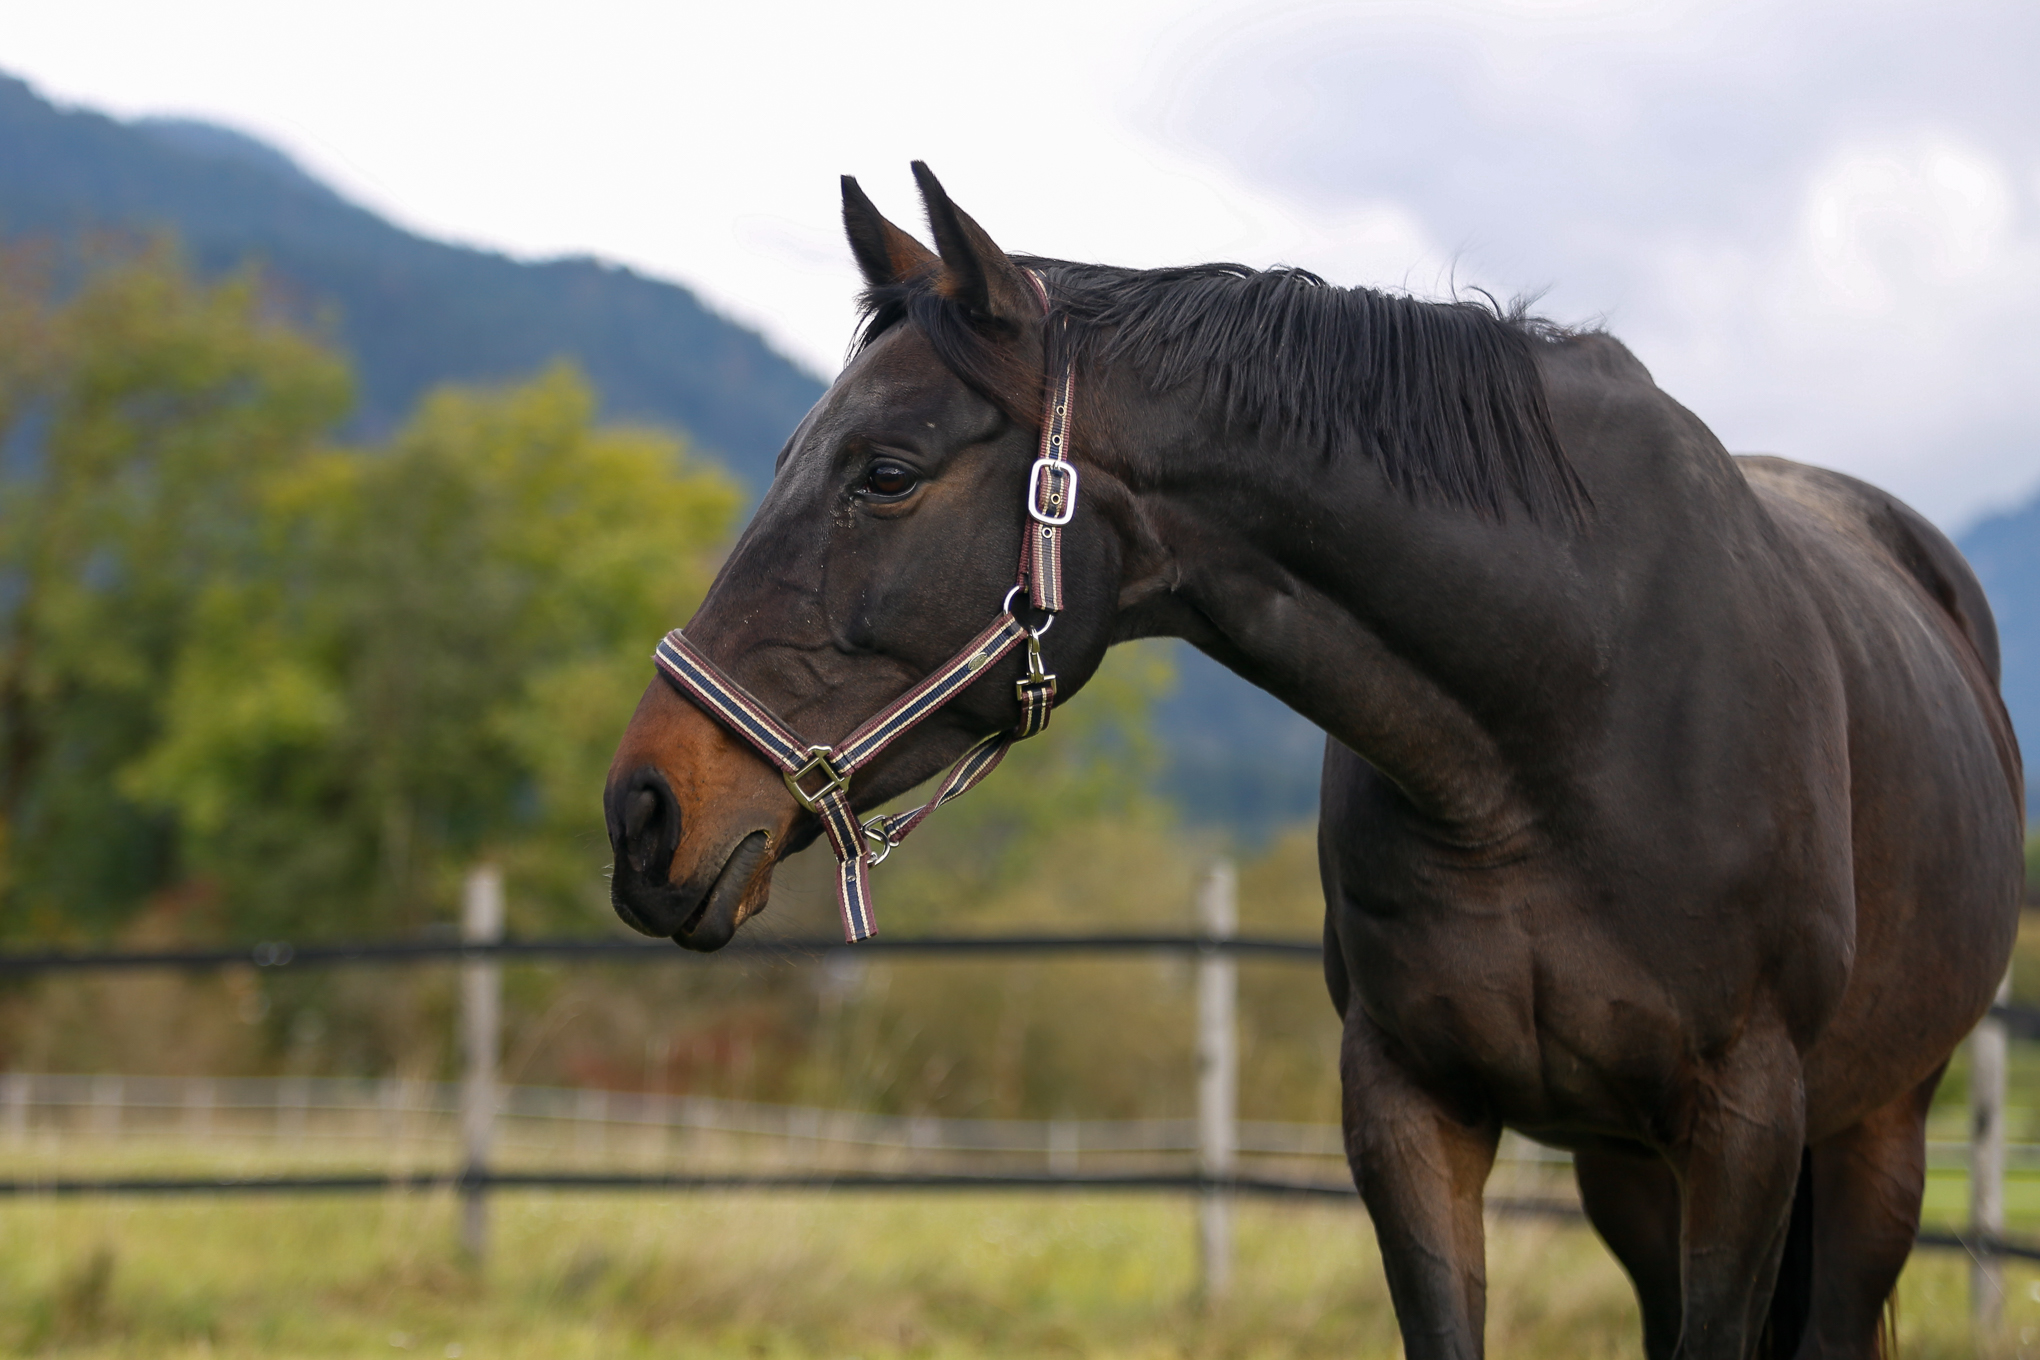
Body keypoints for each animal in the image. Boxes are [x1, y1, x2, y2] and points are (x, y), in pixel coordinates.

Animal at [599, 165, 2023, 1353]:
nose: (641, 812)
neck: (1564, 713)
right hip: (1626, 1168)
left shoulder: (1746, 1125)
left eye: (885, 474)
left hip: (1877, 1137)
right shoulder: (1408, 1109)